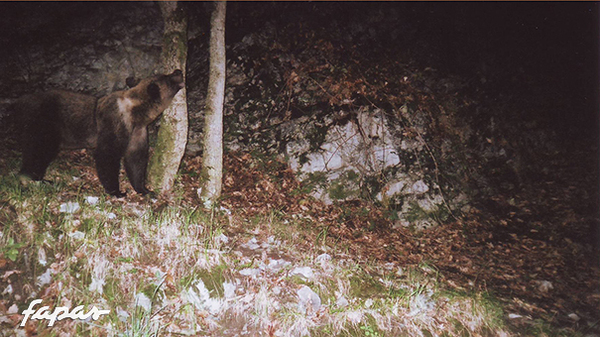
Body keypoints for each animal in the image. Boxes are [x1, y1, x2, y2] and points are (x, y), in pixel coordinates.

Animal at [17, 69, 185, 197]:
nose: (178, 71)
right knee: (41, 150)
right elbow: (107, 154)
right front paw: (117, 191)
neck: (136, 114)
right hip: (46, 123)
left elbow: (135, 159)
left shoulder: (137, 132)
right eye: (167, 77)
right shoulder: (115, 123)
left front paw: (145, 189)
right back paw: (35, 178)